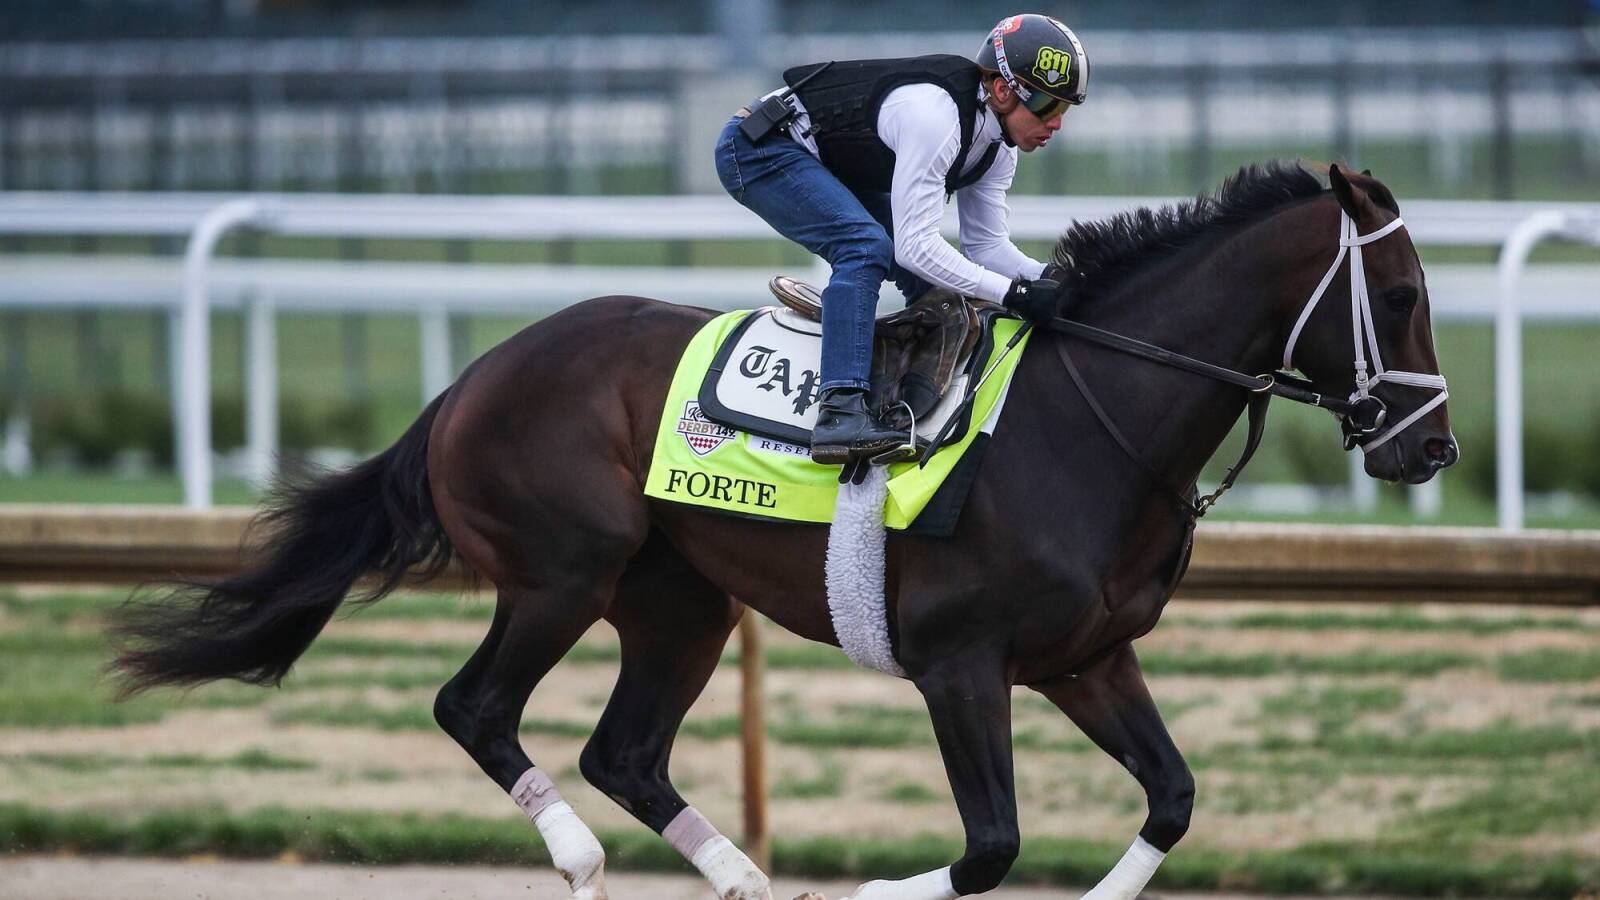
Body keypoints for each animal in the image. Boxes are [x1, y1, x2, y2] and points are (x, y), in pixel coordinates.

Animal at [112, 162, 1459, 896]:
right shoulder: (960, 664)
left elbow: (1171, 800)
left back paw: (747, 881)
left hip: (680, 601)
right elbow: (990, 845)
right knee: (475, 708)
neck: (1093, 420)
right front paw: (869, 887)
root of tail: (471, 378)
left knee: (625, 752)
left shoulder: (1085, 658)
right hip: (563, 574)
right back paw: (584, 863)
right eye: (1398, 297)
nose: (1430, 449)